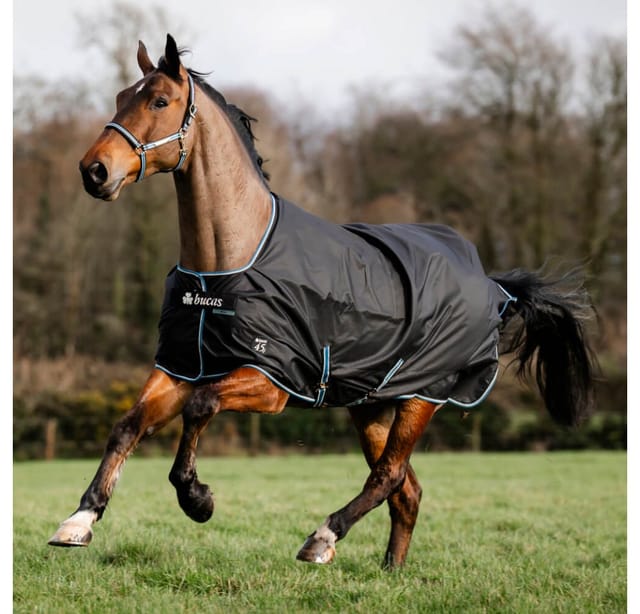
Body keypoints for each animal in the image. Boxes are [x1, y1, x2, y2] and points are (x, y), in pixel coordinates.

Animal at [48, 34, 595, 569]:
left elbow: (201, 408)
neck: (226, 265)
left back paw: (322, 537)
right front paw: (79, 520)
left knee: (389, 477)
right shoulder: (182, 366)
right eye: (121, 97)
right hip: (371, 407)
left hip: (423, 398)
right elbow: (126, 426)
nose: (93, 171)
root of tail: (492, 284)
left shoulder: (269, 380)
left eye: (159, 101)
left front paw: (197, 499)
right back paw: (390, 572)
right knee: (407, 491)